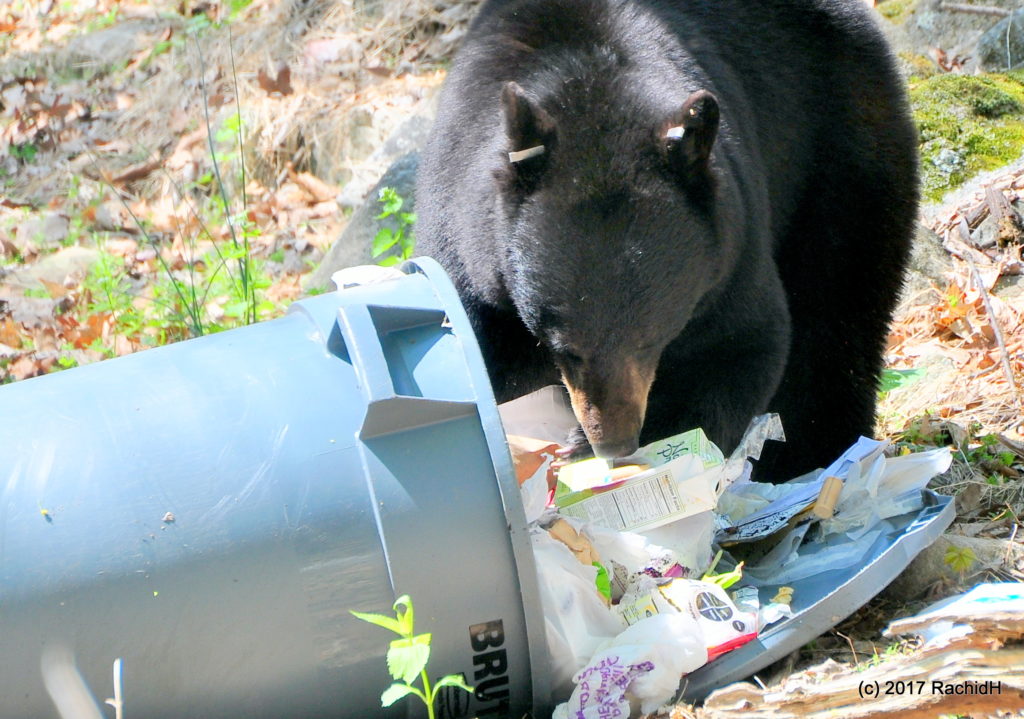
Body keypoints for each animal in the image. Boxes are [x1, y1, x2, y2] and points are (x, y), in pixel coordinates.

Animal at [415, 0, 921, 483]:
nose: (614, 443)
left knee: (837, 302)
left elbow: (736, 348)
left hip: (841, 141)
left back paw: (809, 455)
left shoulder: (729, 251)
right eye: (566, 349)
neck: (585, 84)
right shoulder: (466, 248)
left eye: (650, 340)